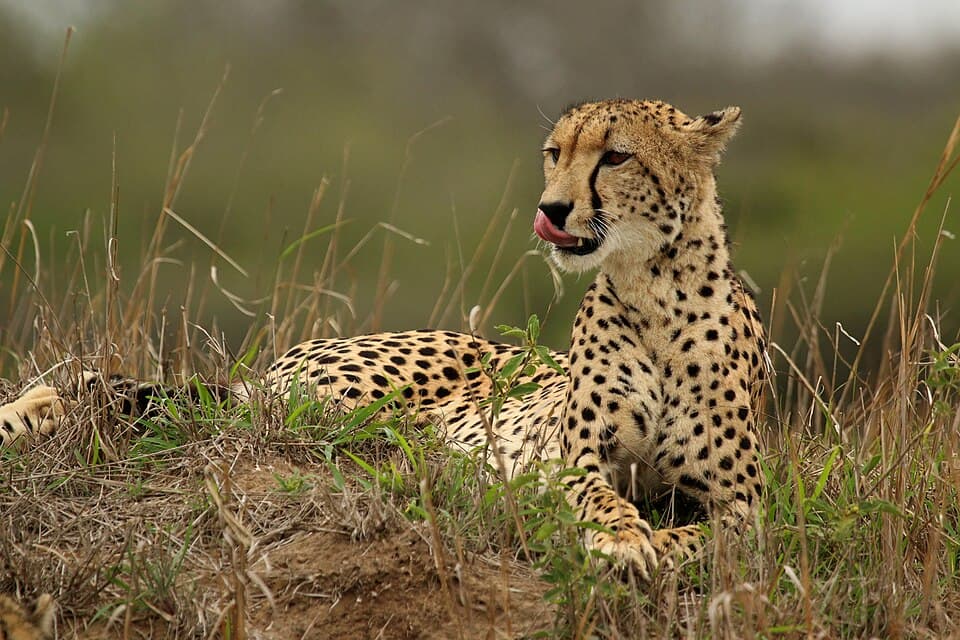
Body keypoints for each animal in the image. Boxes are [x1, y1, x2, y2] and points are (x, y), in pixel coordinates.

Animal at [0, 98, 766, 580]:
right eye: (555, 154)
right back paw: (29, 411)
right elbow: (604, 499)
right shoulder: (575, 460)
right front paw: (621, 538)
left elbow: (709, 541)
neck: (654, 290)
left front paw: (650, 544)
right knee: (164, 399)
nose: (551, 209)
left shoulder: (745, 507)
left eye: (615, 157)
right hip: (329, 406)